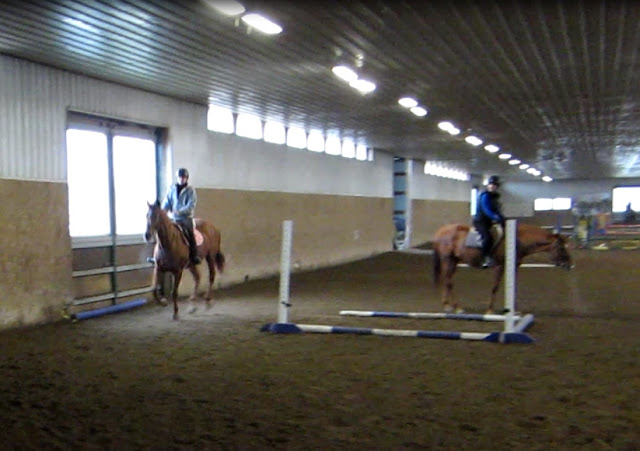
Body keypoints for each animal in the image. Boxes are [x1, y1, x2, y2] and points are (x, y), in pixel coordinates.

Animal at [432, 222, 572, 314]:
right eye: (561, 248)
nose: (569, 265)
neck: (517, 241)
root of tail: (441, 231)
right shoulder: (499, 266)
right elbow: (495, 287)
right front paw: (490, 310)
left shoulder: (514, 267)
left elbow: (513, 287)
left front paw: (513, 310)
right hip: (448, 260)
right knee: (449, 281)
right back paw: (456, 307)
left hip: (454, 261)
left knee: (447, 280)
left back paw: (447, 305)